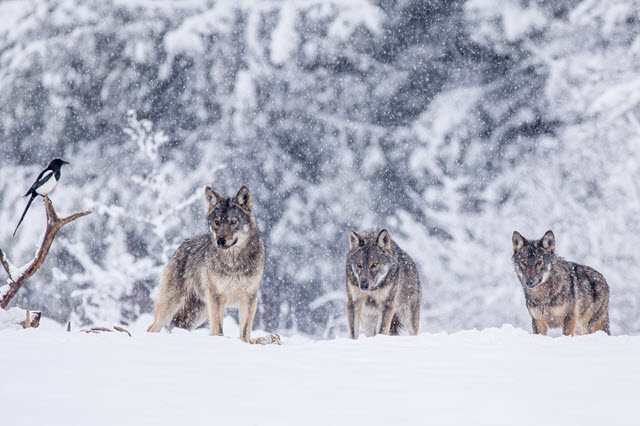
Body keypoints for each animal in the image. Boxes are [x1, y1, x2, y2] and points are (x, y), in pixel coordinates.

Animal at [148, 185, 264, 342]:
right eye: (217, 222)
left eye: (233, 222)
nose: (220, 241)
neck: (233, 262)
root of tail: (180, 247)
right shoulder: (216, 297)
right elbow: (218, 328)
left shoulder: (249, 297)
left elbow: (245, 331)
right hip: (173, 305)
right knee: (152, 328)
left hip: (197, 313)